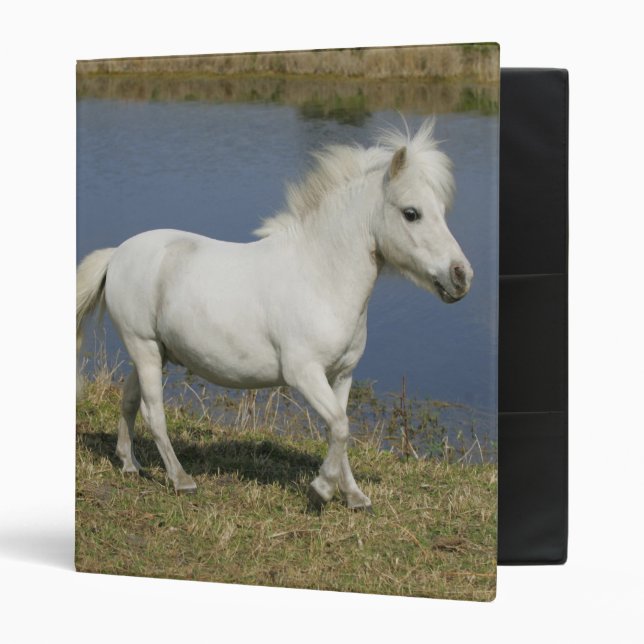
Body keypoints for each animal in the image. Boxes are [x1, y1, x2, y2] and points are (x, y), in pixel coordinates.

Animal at [76, 119, 473, 512]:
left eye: (441, 210)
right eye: (411, 213)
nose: (461, 276)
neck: (320, 276)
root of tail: (118, 254)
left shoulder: (342, 375)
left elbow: (341, 428)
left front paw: (354, 496)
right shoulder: (304, 373)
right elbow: (340, 426)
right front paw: (321, 489)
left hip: (155, 351)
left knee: (129, 400)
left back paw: (130, 464)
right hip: (142, 345)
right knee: (153, 412)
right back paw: (180, 479)